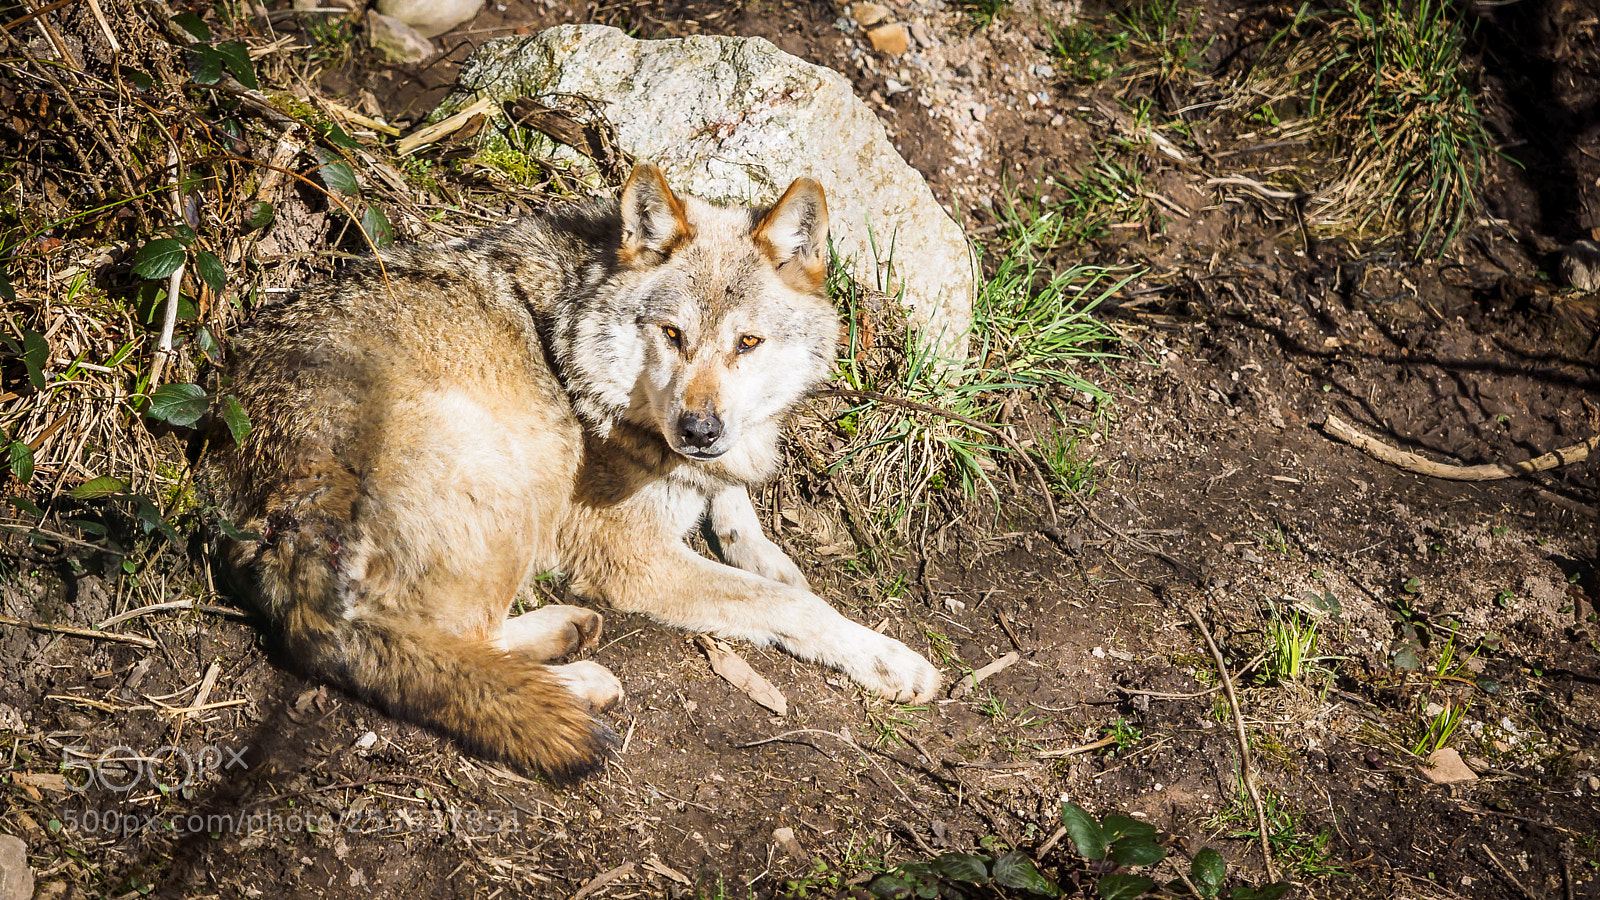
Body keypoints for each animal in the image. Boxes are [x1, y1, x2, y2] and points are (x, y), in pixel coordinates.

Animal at [211, 164, 942, 782]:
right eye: (672, 334)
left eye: (748, 343)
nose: (698, 429)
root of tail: (290, 513)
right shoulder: (632, 559)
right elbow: (788, 605)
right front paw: (889, 659)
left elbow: (739, 510)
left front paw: (766, 549)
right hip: (522, 464)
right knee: (452, 644)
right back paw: (577, 681)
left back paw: (566, 634)